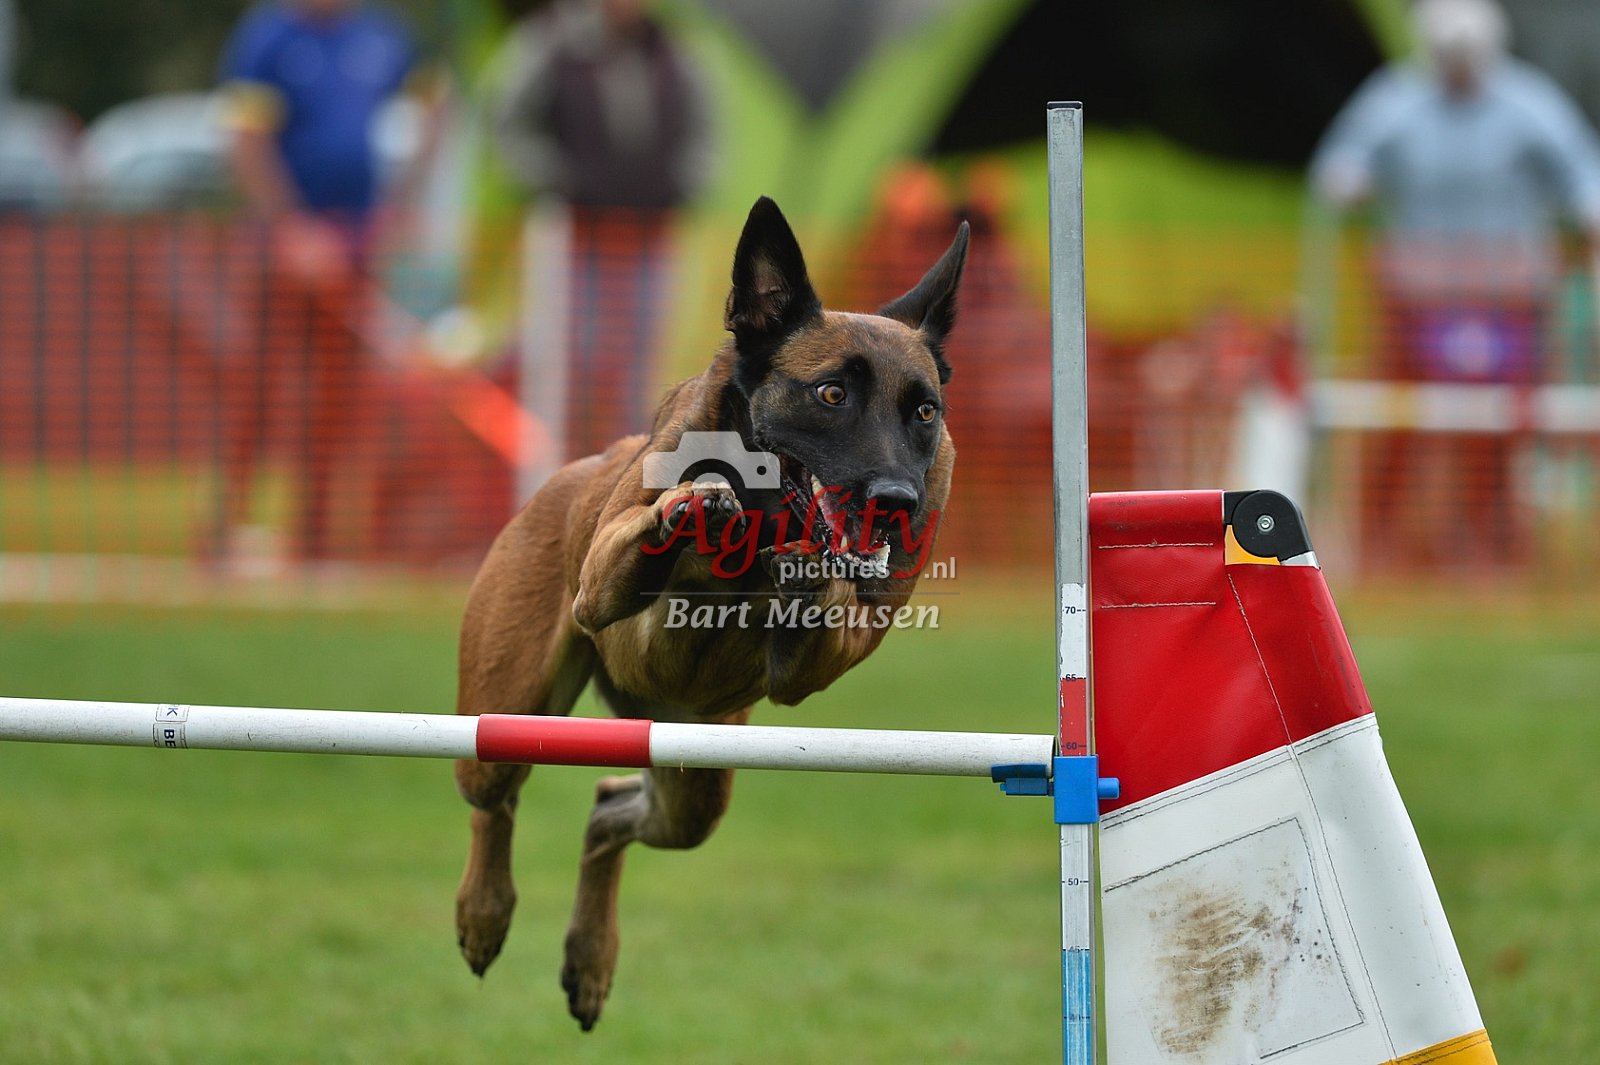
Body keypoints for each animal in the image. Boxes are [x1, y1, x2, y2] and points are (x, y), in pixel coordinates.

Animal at [452, 196, 968, 1030]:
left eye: (923, 410)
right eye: (831, 394)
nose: (896, 501)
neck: (766, 512)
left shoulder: (818, 660)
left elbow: (828, 605)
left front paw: (804, 569)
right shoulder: (600, 584)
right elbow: (655, 523)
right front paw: (694, 506)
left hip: (693, 782)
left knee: (607, 810)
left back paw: (590, 957)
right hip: (506, 712)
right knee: (493, 798)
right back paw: (484, 912)